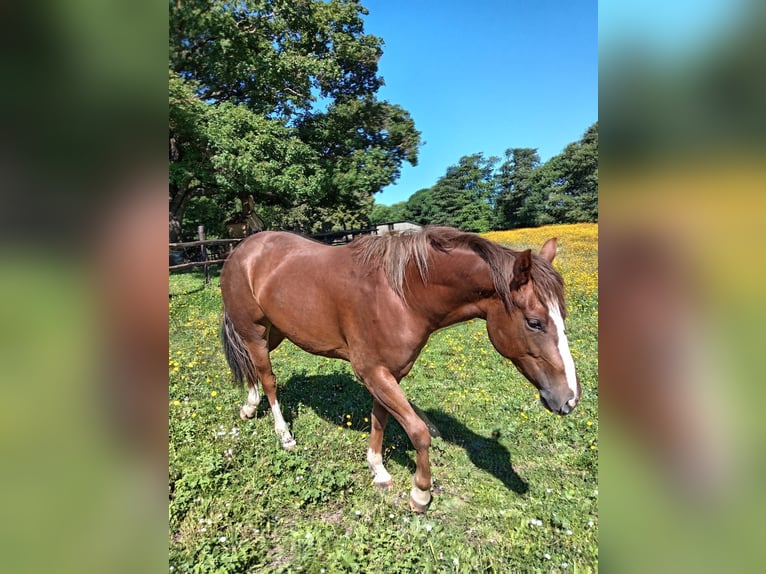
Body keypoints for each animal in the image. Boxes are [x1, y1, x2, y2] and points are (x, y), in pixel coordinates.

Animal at [219, 226, 580, 512]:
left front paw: (378, 470)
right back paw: (284, 435)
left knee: (253, 370)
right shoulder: (373, 373)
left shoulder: (388, 373)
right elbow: (418, 432)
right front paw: (420, 493)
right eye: (534, 322)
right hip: (253, 331)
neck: (400, 294)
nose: (569, 399)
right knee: (268, 378)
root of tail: (242, 249)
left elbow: (379, 420)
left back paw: (249, 407)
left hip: (274, 332)